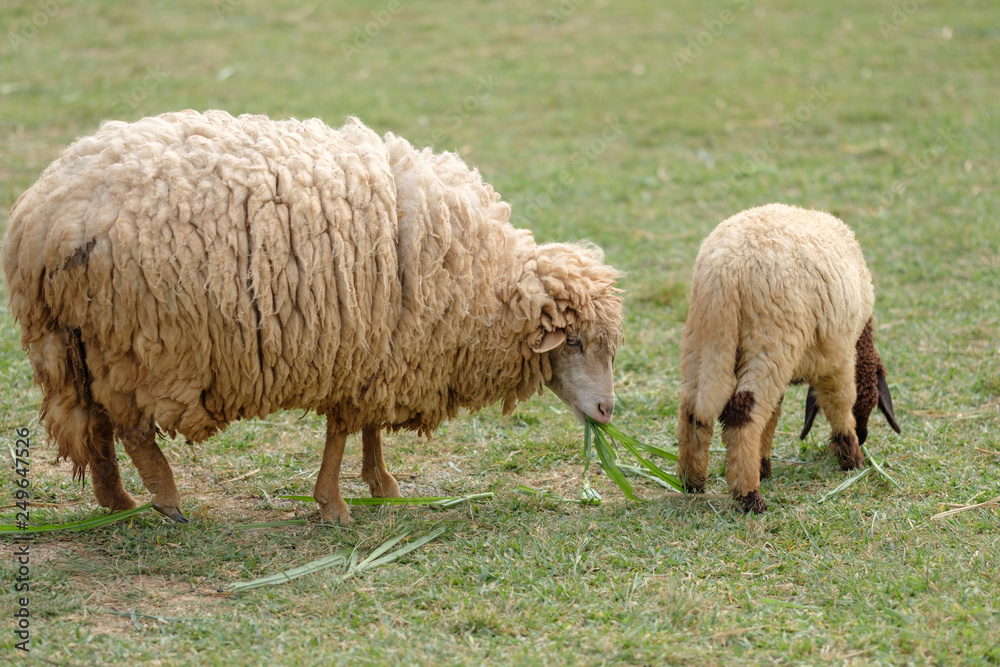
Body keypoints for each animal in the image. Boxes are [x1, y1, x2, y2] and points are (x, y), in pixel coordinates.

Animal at [1, 109, 624, 528]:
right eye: (573, 343)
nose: (607, 412)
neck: (478, 277)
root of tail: (40, 218)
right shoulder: (361, 349)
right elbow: (342, 432)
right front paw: (334, 504)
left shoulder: (379, 352)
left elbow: (367, 428)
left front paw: (381, 484)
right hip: (137, 344)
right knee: (130, 430)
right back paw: (167, 501)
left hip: (80, 345)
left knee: (97, 428)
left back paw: (119, 502)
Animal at [680, 206, 900, 516]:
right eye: (871, 401)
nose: (865, 434)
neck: (863, 336)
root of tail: (728, 266)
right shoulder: (839, 358)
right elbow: (840, 402)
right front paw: (852, 457)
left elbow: (773, 416)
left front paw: (764, 465)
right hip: (771, 341)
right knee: (742, 413)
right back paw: (749, 497)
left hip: (704, 338)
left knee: (693, 408)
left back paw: (692, 481)